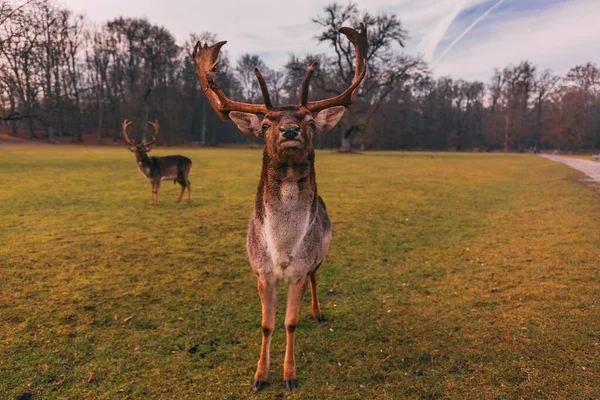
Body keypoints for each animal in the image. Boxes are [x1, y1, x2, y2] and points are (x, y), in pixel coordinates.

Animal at [195, 23, 368, 390]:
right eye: (264, 125)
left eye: (310, 122)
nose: (289, 131)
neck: (283, 251)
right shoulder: (261, 272)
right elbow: (266, 324)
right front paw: (260, 375)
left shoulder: (300, 271)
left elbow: (290, 323)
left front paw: (289, 376)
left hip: (322, 253)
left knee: (318, 278)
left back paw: (317, 312)